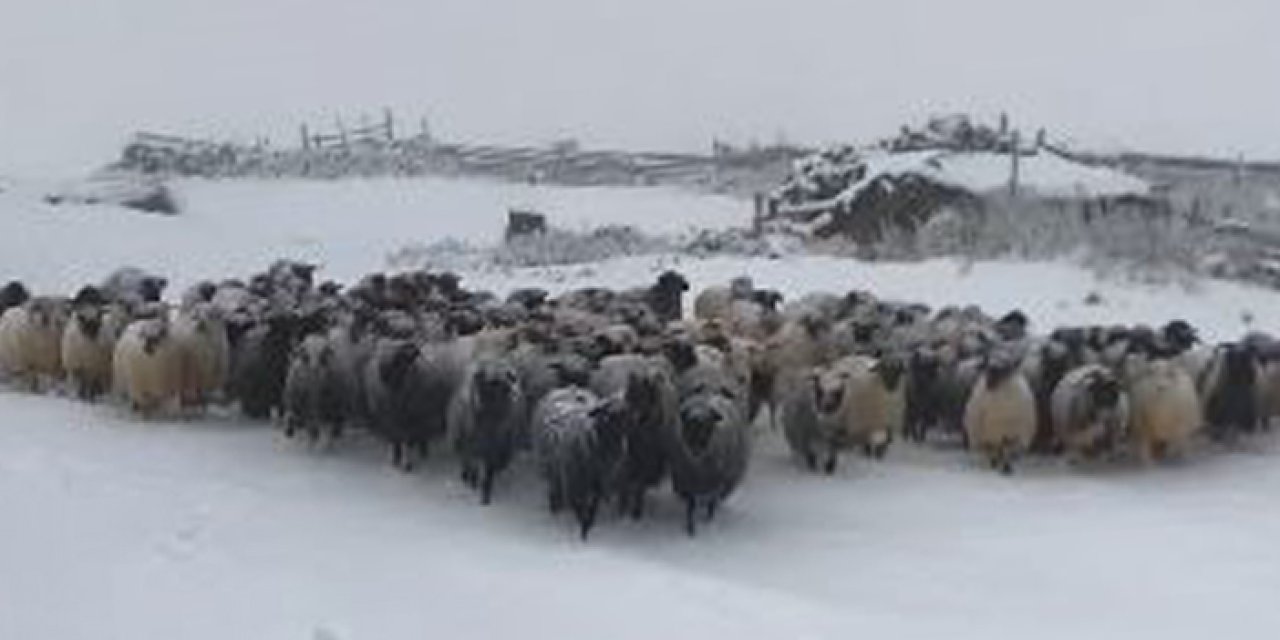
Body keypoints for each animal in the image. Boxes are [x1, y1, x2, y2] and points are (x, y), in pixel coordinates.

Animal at [453, 358, 527, 501]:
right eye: (492, 383)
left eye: (506, 384)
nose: (514, 393)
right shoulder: (473, 442)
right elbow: (474, 464)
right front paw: (474, 481)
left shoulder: (496, 445)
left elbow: (490, 469)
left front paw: (485, 491)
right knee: (466, 458)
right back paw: (468, 476)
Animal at [532, 384, 627, 540]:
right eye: (608, 415)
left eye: (626, 413)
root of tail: (570, 388)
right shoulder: (574, 483)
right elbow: (579, 509)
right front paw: (583, 532)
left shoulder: (597, 485)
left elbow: (592, 508)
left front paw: (587, 528)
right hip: (551, 469)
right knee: (554, 491)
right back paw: (555, 512)